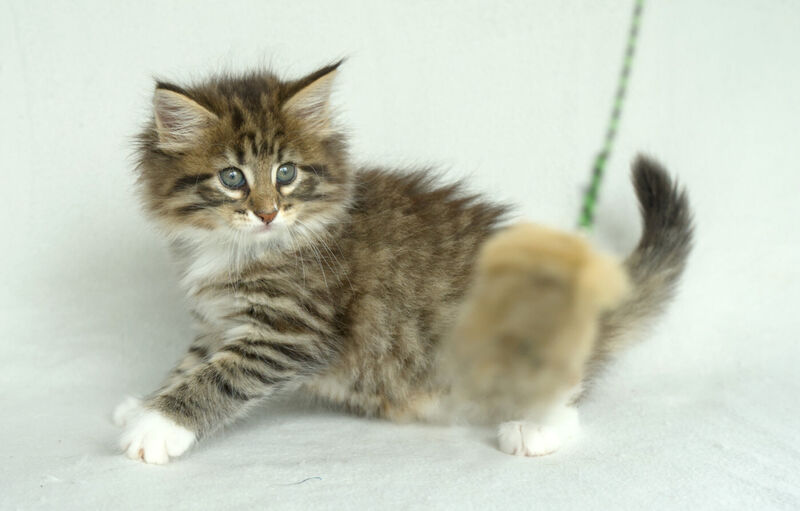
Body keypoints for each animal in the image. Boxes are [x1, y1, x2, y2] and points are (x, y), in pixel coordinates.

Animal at [114, 61, 692, 464]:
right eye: (232, 177)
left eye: (286, 173)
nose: (267, 212)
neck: (234, 248)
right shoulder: (216, 322)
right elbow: (191, 362)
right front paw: (145, 404)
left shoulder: (292, 332)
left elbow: (219, 377)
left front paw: (158, 427)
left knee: (568, 394)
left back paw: (536, 428)